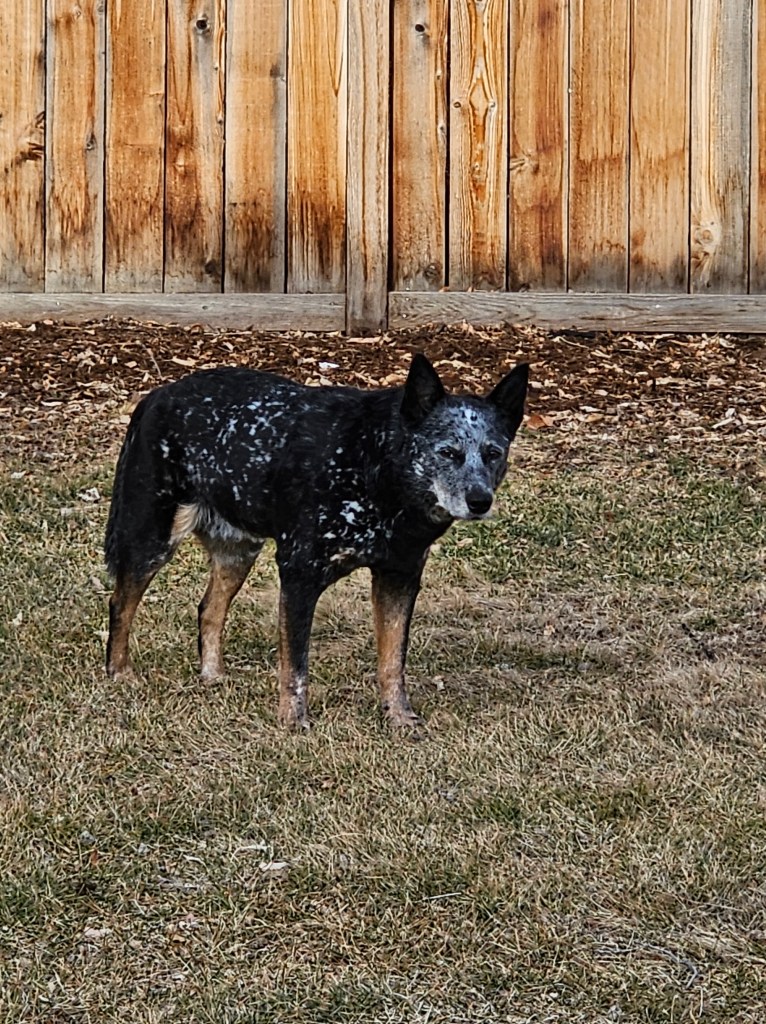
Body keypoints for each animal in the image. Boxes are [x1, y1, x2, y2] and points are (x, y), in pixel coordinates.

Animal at [104, 353, 528, 729]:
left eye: (493, 453)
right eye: (447, 452)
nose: (480, 501)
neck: (374, 466)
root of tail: (157, 394)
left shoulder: (399, 578)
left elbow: (392, 661)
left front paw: (398, 717)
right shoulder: (300, 575)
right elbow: (295, 666)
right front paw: (293, 722)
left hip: (239, 551)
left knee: (208, 608)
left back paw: (212, 675)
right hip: (151, 538)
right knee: (121, 602)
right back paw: (119, 673)